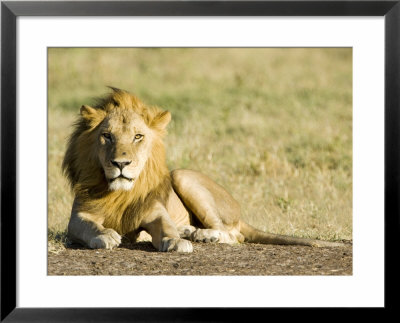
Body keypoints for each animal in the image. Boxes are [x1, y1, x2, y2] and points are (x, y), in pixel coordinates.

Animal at [62, 88, 344, 253]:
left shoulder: (155, 211)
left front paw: (175, 241)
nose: (121, 164)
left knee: (232, 235)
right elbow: (88, 227)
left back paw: (203, 236)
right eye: (107, 136)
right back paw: (192, 231)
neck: (120, 192)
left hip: (182, 176)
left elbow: (165, 226)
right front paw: (105, 236)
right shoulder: (77, 218)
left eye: (138, 136)